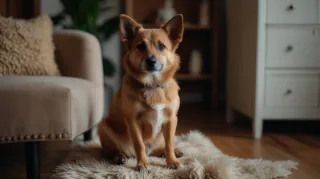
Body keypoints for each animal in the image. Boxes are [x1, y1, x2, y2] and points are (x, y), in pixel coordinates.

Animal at [97, 14, 184, 171]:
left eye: (161, 46)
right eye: (140, 46)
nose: (151, 61)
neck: (153, 85)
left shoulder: (171, 119)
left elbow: (169, 144)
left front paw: (172, 161)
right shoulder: (133, 121)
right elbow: (139, 145)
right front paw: (143, 163)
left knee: (160, 147)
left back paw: (169, 152)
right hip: (104, 126)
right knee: (108, 151)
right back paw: (119, 157)